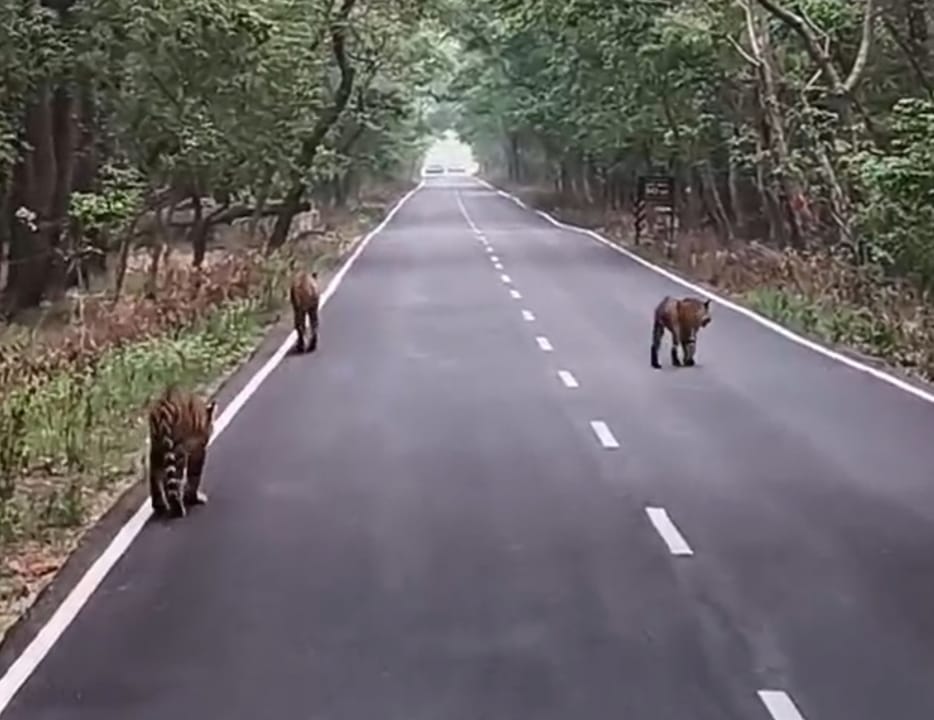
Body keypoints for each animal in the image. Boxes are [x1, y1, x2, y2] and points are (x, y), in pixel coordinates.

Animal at [148, 385, 216, 518]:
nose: (211, 431)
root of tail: (163, 408)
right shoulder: (198, 450)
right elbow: (194, 476)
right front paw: (194, 498)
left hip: (157, 447)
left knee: (155, 474)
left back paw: (160, 505)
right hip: (178, 451)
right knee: (175, 479)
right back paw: (178, 508)